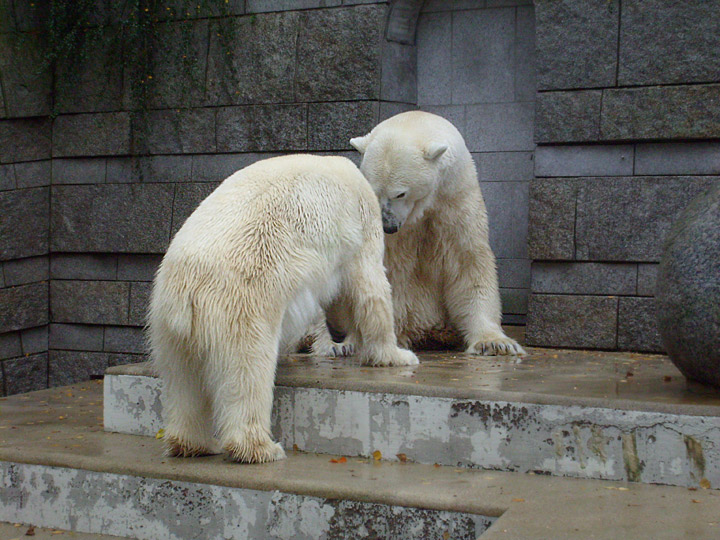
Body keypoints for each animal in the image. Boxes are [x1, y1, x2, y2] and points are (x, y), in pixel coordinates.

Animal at [150, 153, 420, 464]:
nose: (339, 335)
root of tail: (187, 292)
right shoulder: (362, 225)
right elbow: (370, 289)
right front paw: (398, 356)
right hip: (241, 306)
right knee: (247, 373)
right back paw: (260, 448)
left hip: (168, 327)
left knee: (183, 382)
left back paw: (195, 444)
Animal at [314, 111, 524, 356]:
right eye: (375, 191)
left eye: (400, 193)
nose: (388, 226)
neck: (420, 211)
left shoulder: (456, 202)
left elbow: (468, 263)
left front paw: (494, 342)